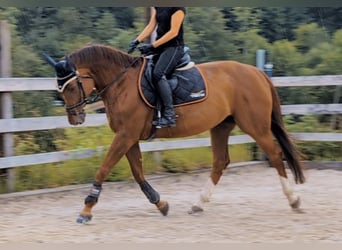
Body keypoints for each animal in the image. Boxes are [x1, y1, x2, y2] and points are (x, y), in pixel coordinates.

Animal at [44, 44, 304, 224]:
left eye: (72, 86)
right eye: (60, 88)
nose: (75, 119)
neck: (121, 84)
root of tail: (257, 72)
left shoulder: (125, 135)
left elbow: (104, 168)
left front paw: (86, 210)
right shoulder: (128, 136)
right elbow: (138, 173)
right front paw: (161, 204)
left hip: (255, 125)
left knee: (274, 154)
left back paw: (293, 199)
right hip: (221, 126)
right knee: (220, 162)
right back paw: (198, 204)